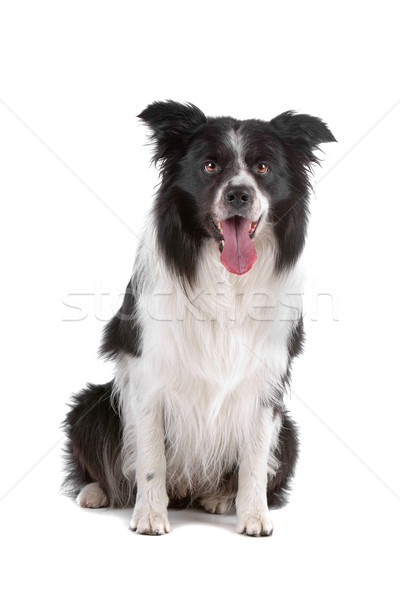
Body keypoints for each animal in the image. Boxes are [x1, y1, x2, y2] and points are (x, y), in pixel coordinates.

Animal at [64, 101, 336, 536]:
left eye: (263, 167)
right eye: (210, 166)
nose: (239, 193)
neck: (227, 279)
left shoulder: (265, 384)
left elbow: (255, 460)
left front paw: (254, 516)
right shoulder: (148, 375)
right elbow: (151, 456)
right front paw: (149, 515)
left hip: (290, 432)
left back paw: (220, 497)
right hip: (90, 404)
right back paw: (97, 492)